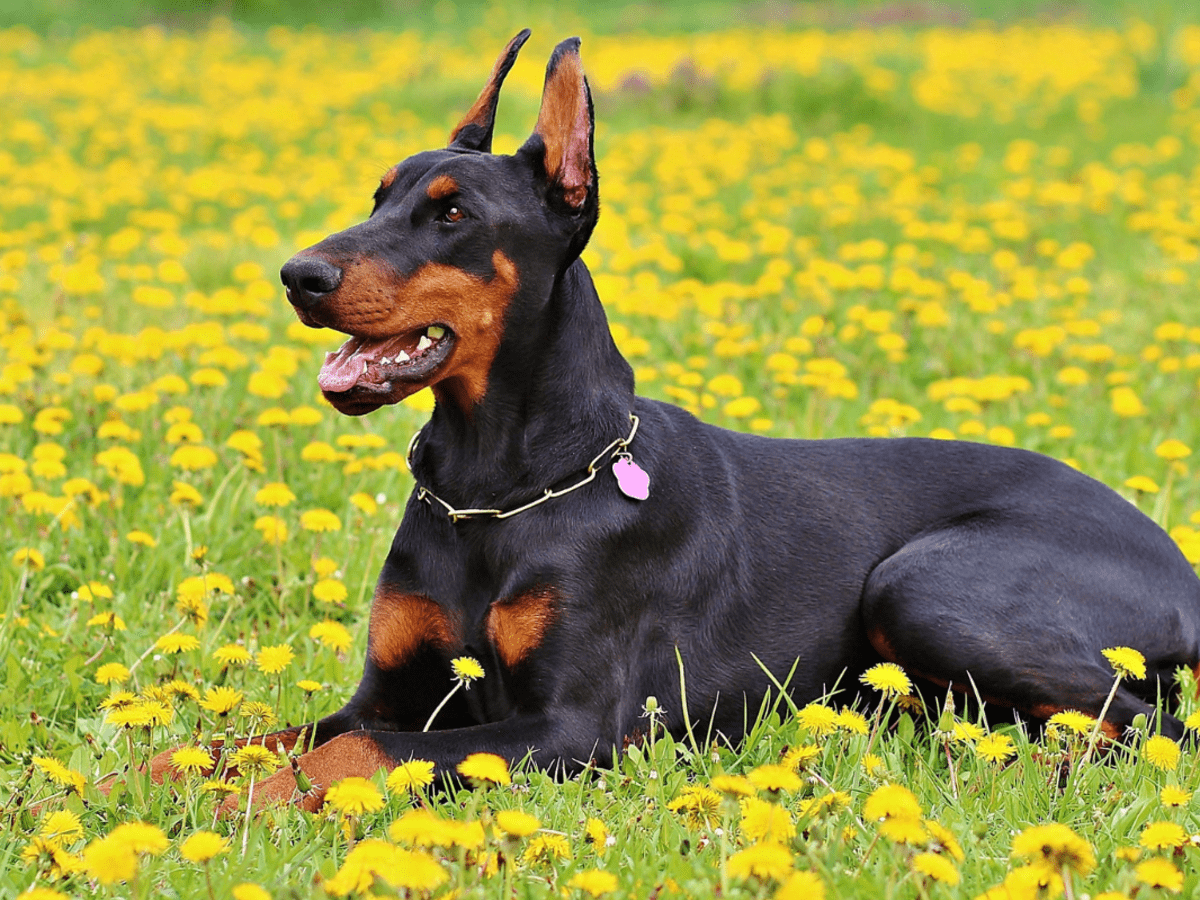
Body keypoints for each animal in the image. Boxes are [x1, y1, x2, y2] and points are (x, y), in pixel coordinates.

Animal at [177, 33, 1200, 811]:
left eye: (453, 213)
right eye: (379, 193)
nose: (298, 275)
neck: (497, 488)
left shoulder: (571, 726)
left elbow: (347, 757)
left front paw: (241, 809)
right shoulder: (389, 694)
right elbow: (253, 736)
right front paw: (166, 779)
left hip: (922, 587)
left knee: (1149, 726)